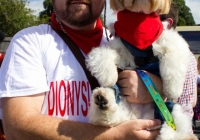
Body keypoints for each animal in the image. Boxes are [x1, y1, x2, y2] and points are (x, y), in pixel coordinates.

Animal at [86, 0, 198, 139]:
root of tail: (139, 116)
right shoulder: (117, 47)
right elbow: (102, 54)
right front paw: (108, 76)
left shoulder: (171, 41)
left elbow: (173, 62)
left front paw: (173, 89)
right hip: (123, 108)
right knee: (109, 117)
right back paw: (102, 99)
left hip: (172, 109)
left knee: (172, 127)